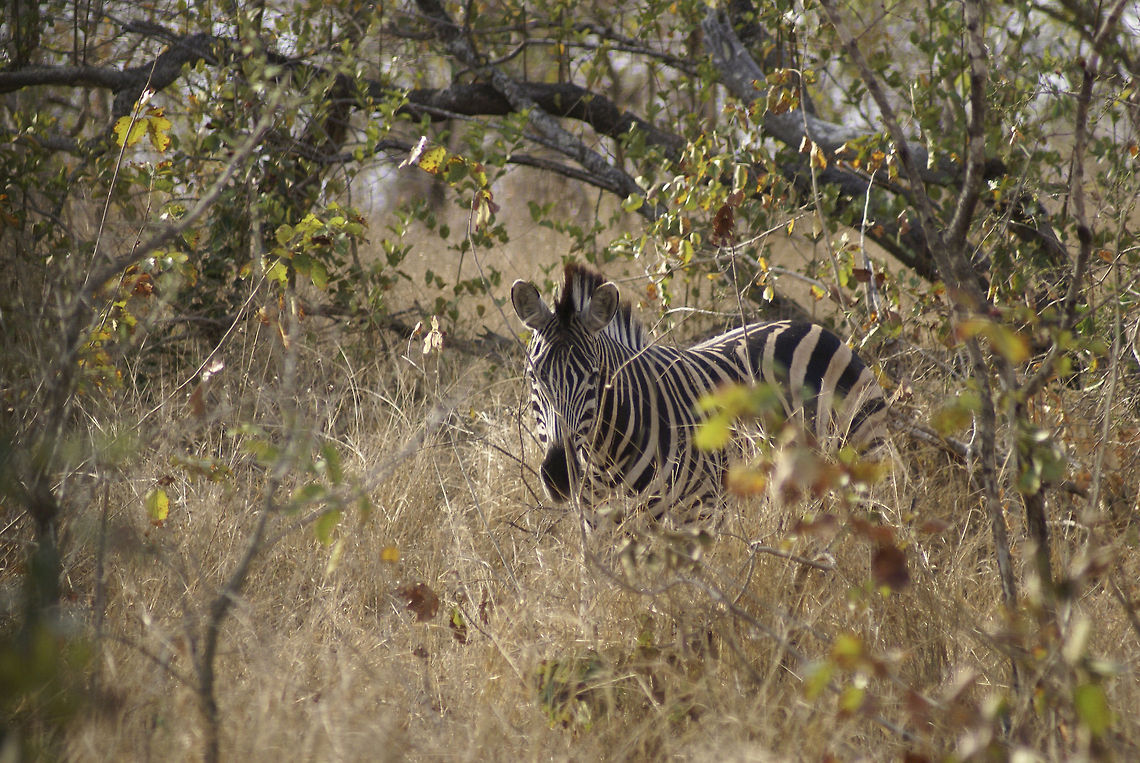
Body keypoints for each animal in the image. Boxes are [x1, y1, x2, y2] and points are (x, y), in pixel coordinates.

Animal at [512, 263, 887, 516]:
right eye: (533, 375)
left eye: (595, 377)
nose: (560, 476)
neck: (605, 459)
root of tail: (811, 326)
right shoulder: (599, 522)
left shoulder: (699, 509)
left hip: (859, 450)